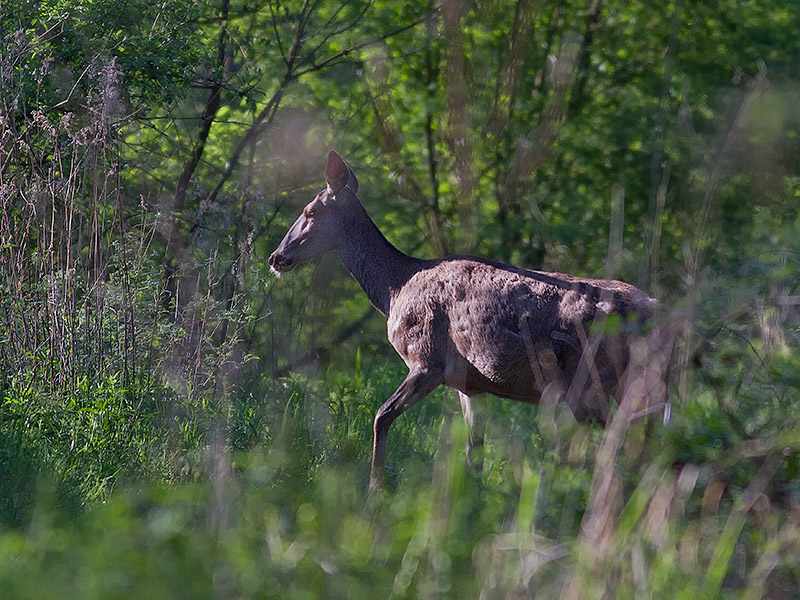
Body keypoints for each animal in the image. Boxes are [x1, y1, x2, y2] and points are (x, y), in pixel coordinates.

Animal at [268, 152, 668, 490]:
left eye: (309, 211)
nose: (275, 257)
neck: (393, 288)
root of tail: (655, 310)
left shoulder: (427, 359)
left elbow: (382, 415)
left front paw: (374, 489)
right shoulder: (471, 384)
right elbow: (474, 450)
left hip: (589, 381)